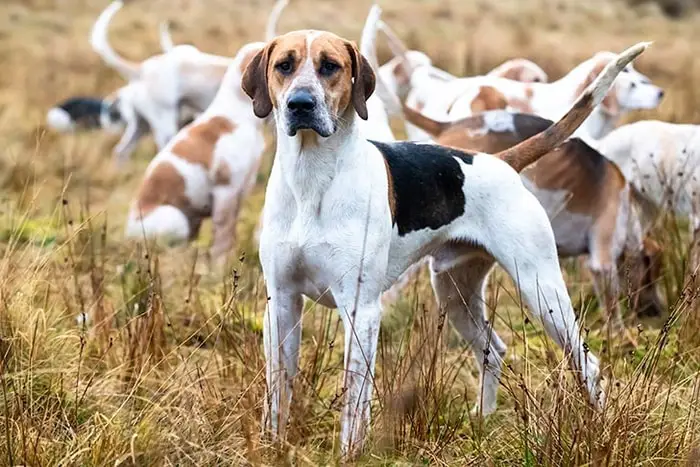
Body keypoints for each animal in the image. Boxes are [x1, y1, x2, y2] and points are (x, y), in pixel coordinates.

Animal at [124, 41, 266, 262]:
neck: (237, 116)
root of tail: (128, 229)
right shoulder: (225, 190)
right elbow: (222, 235)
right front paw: (220, 264)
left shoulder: (241, 189)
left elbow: (230, 232)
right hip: (176, 219)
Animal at [242, 27, 644, 458]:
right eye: (284, 65)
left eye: (330, 66)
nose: (300, 104)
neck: (312, 180)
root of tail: (502, 161)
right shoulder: (281, 302)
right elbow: (277, 390)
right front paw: (271, 446)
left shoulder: (360, 309)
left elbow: (355, 398)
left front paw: (350, 454)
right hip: (455, 291)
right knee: (493, 351)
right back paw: (482, 419)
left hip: (542, 291)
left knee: (588, 363)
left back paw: (598, 429)